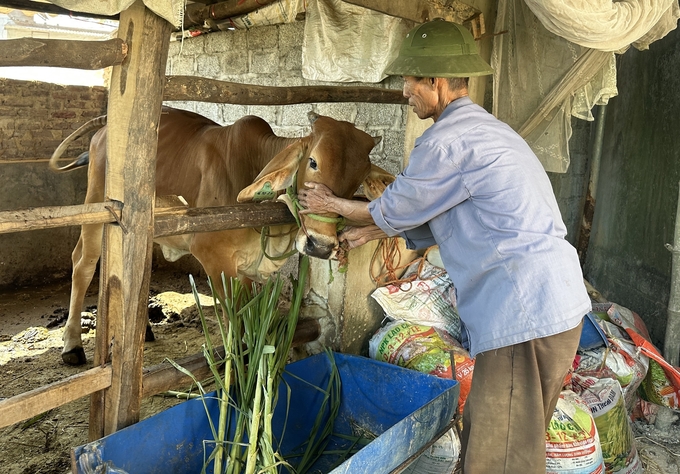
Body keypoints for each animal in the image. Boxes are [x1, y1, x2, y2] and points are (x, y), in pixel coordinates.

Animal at [50, 106, 394, 366]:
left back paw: (142, 331)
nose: (321, 246)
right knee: (83, 264)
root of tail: (103, 130)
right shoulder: (214, 259)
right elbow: (233, 326)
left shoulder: (244, 269)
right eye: (313, 162)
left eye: (359, 179)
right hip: (96, 213)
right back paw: (72, 345)